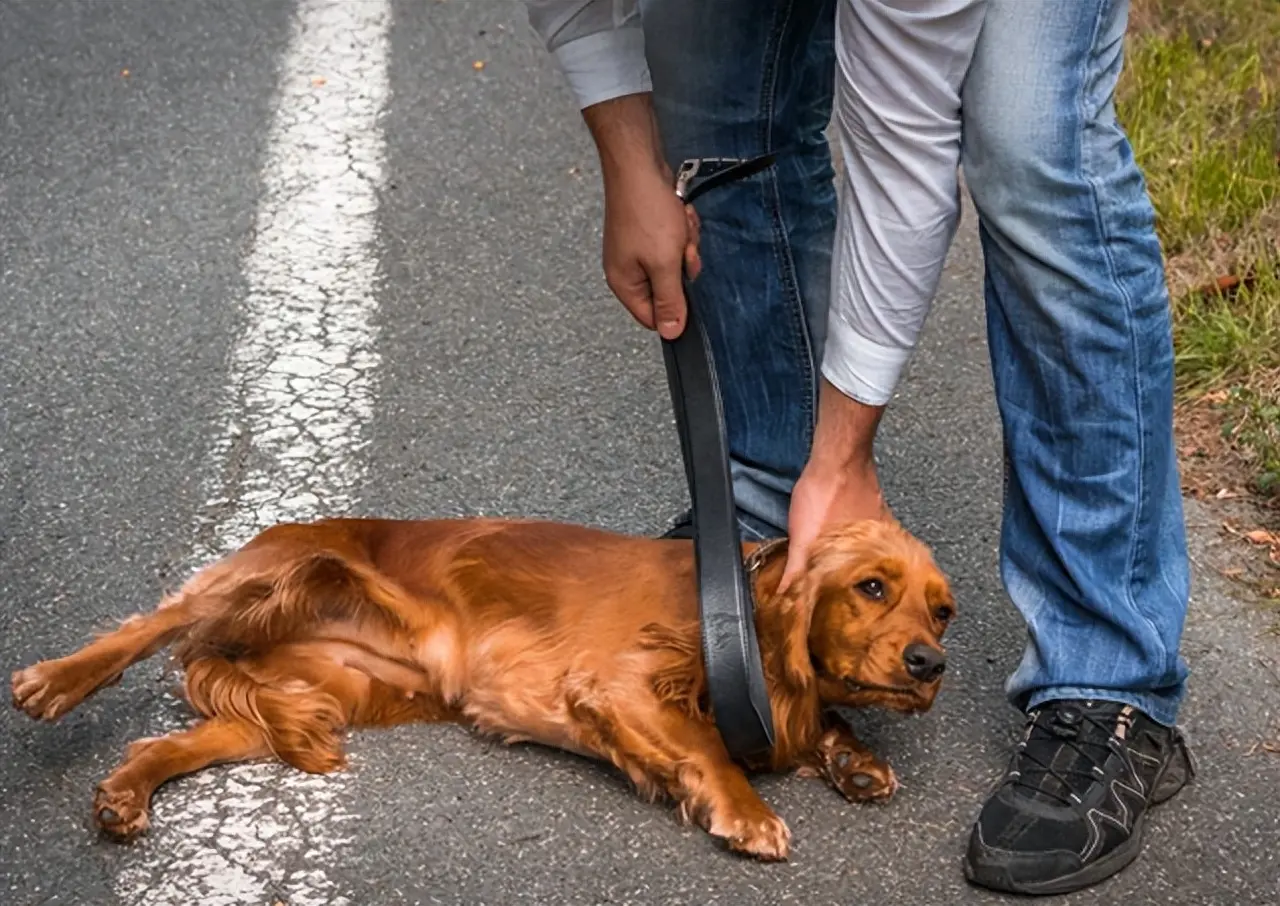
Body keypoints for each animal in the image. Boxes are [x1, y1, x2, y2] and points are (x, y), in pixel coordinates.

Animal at [7, 514, 952, 859]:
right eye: (871, 587)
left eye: (942, 612)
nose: (929, 665)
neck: (739, 610)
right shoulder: (618, 682)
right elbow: (707, 748)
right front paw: (748, 814)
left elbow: (810, 726)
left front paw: (852, 758)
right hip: (278, 571)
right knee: (152, 623)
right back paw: (51, 680)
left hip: (318, 695)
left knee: (177, 739)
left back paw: (123, 796)